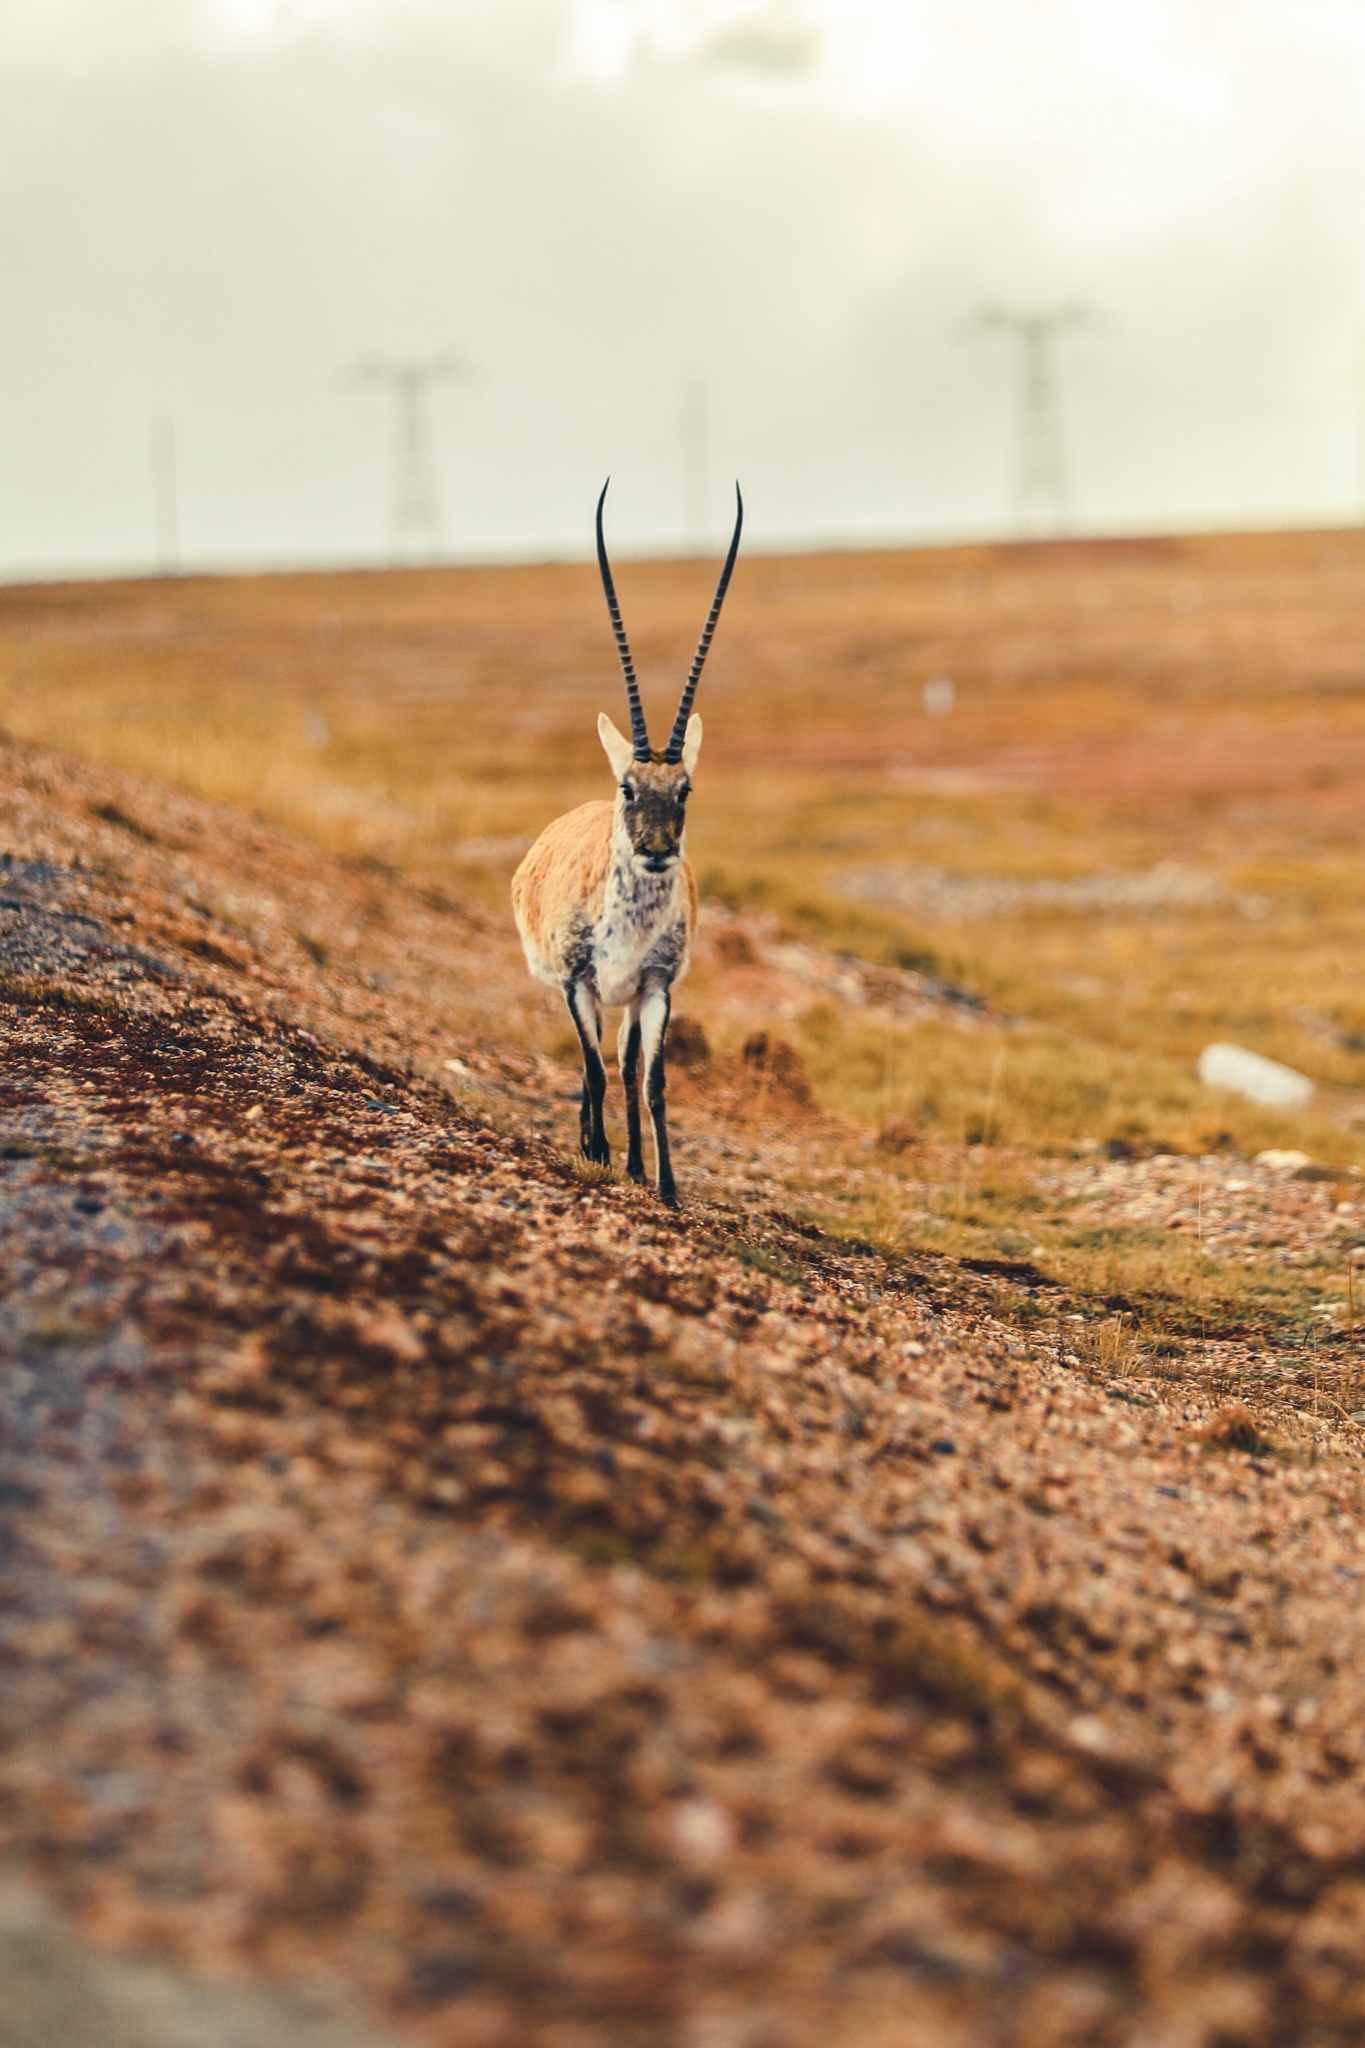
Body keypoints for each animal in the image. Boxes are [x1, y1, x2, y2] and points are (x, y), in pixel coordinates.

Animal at [515, 481, 749, 1204]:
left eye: (685, 790)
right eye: (628, 786)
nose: (655, 850)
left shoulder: (654, 986)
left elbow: (652, 1081)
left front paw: (665, 1185)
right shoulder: (576, 981)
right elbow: (590, 1071)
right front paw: (594, 1152)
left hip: (625, 1002)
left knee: (622, 1068)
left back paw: (636, 1165)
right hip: (585, 994)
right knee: (593, 1065)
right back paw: (597, 1147)